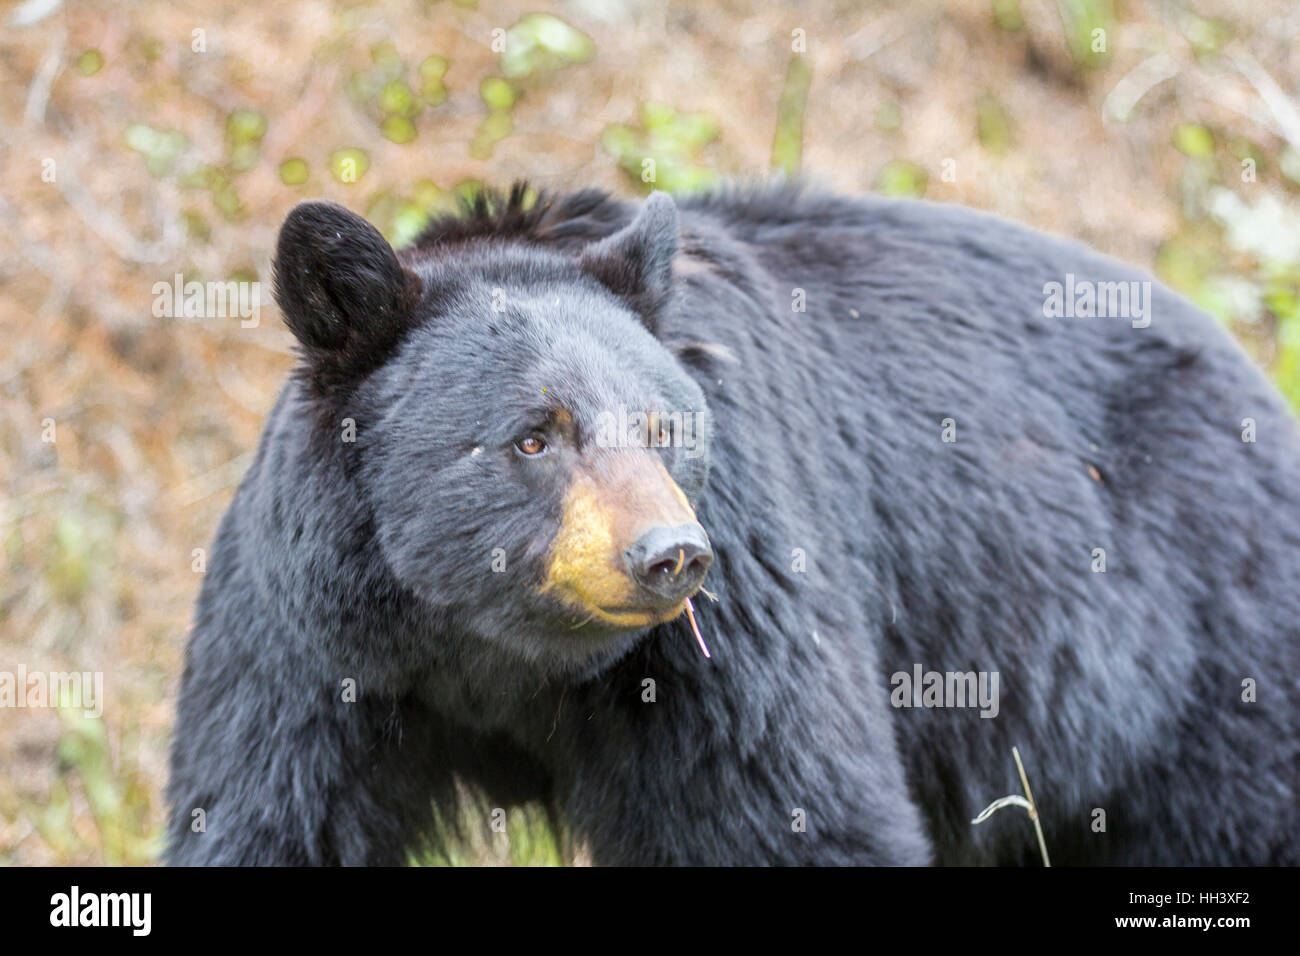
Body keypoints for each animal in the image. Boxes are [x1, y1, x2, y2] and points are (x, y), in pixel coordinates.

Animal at [167, 180, 1294, 868]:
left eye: (664, 426)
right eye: (536, 435)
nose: (669, 555)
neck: (490, 649)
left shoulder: (735, 623)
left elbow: (792, 809)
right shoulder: (309, 641)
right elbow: (264, 812)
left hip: (1207, 660)